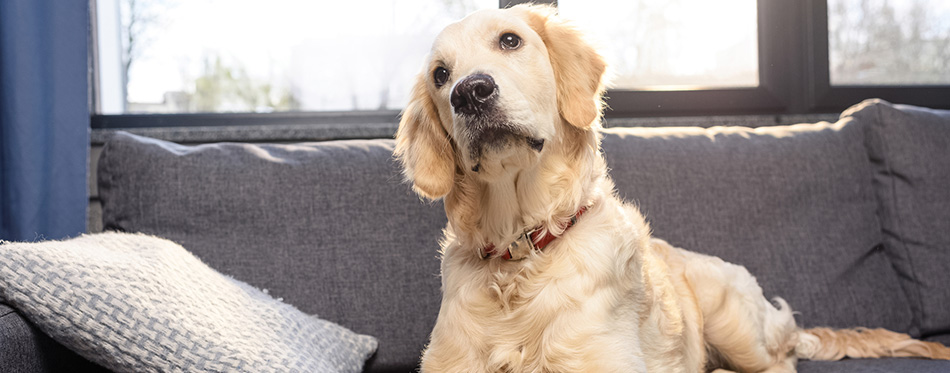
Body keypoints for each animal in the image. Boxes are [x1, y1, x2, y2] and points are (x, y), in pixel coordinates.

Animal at [394, 3, 950, 372]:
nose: (470, 92)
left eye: (510, 41)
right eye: (440, 75)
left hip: (734, 323)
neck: (521, 251)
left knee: (779, 363)